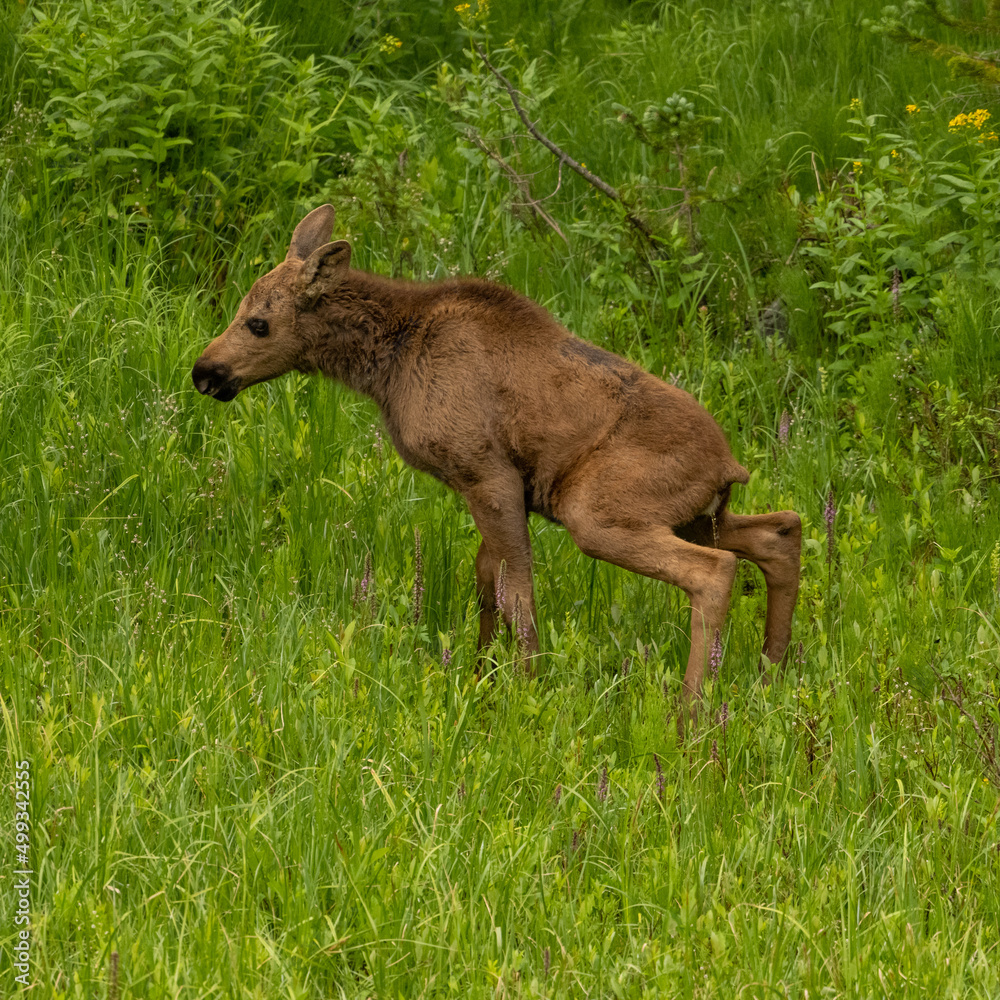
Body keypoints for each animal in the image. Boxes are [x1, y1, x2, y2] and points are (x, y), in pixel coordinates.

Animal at [192, 204, 802, 703]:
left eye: (259, 323)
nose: (205, 371)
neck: (386, 365)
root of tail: (729, 465)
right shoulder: (485, 487)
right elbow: (488, 586)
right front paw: (480, 676)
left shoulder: (488, 475)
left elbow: (517, 597)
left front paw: (527, 692)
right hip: (700, 516)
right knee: (781, 530)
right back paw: (770, 673)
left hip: (599, 512)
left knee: (715, 570)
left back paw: (691, 711)